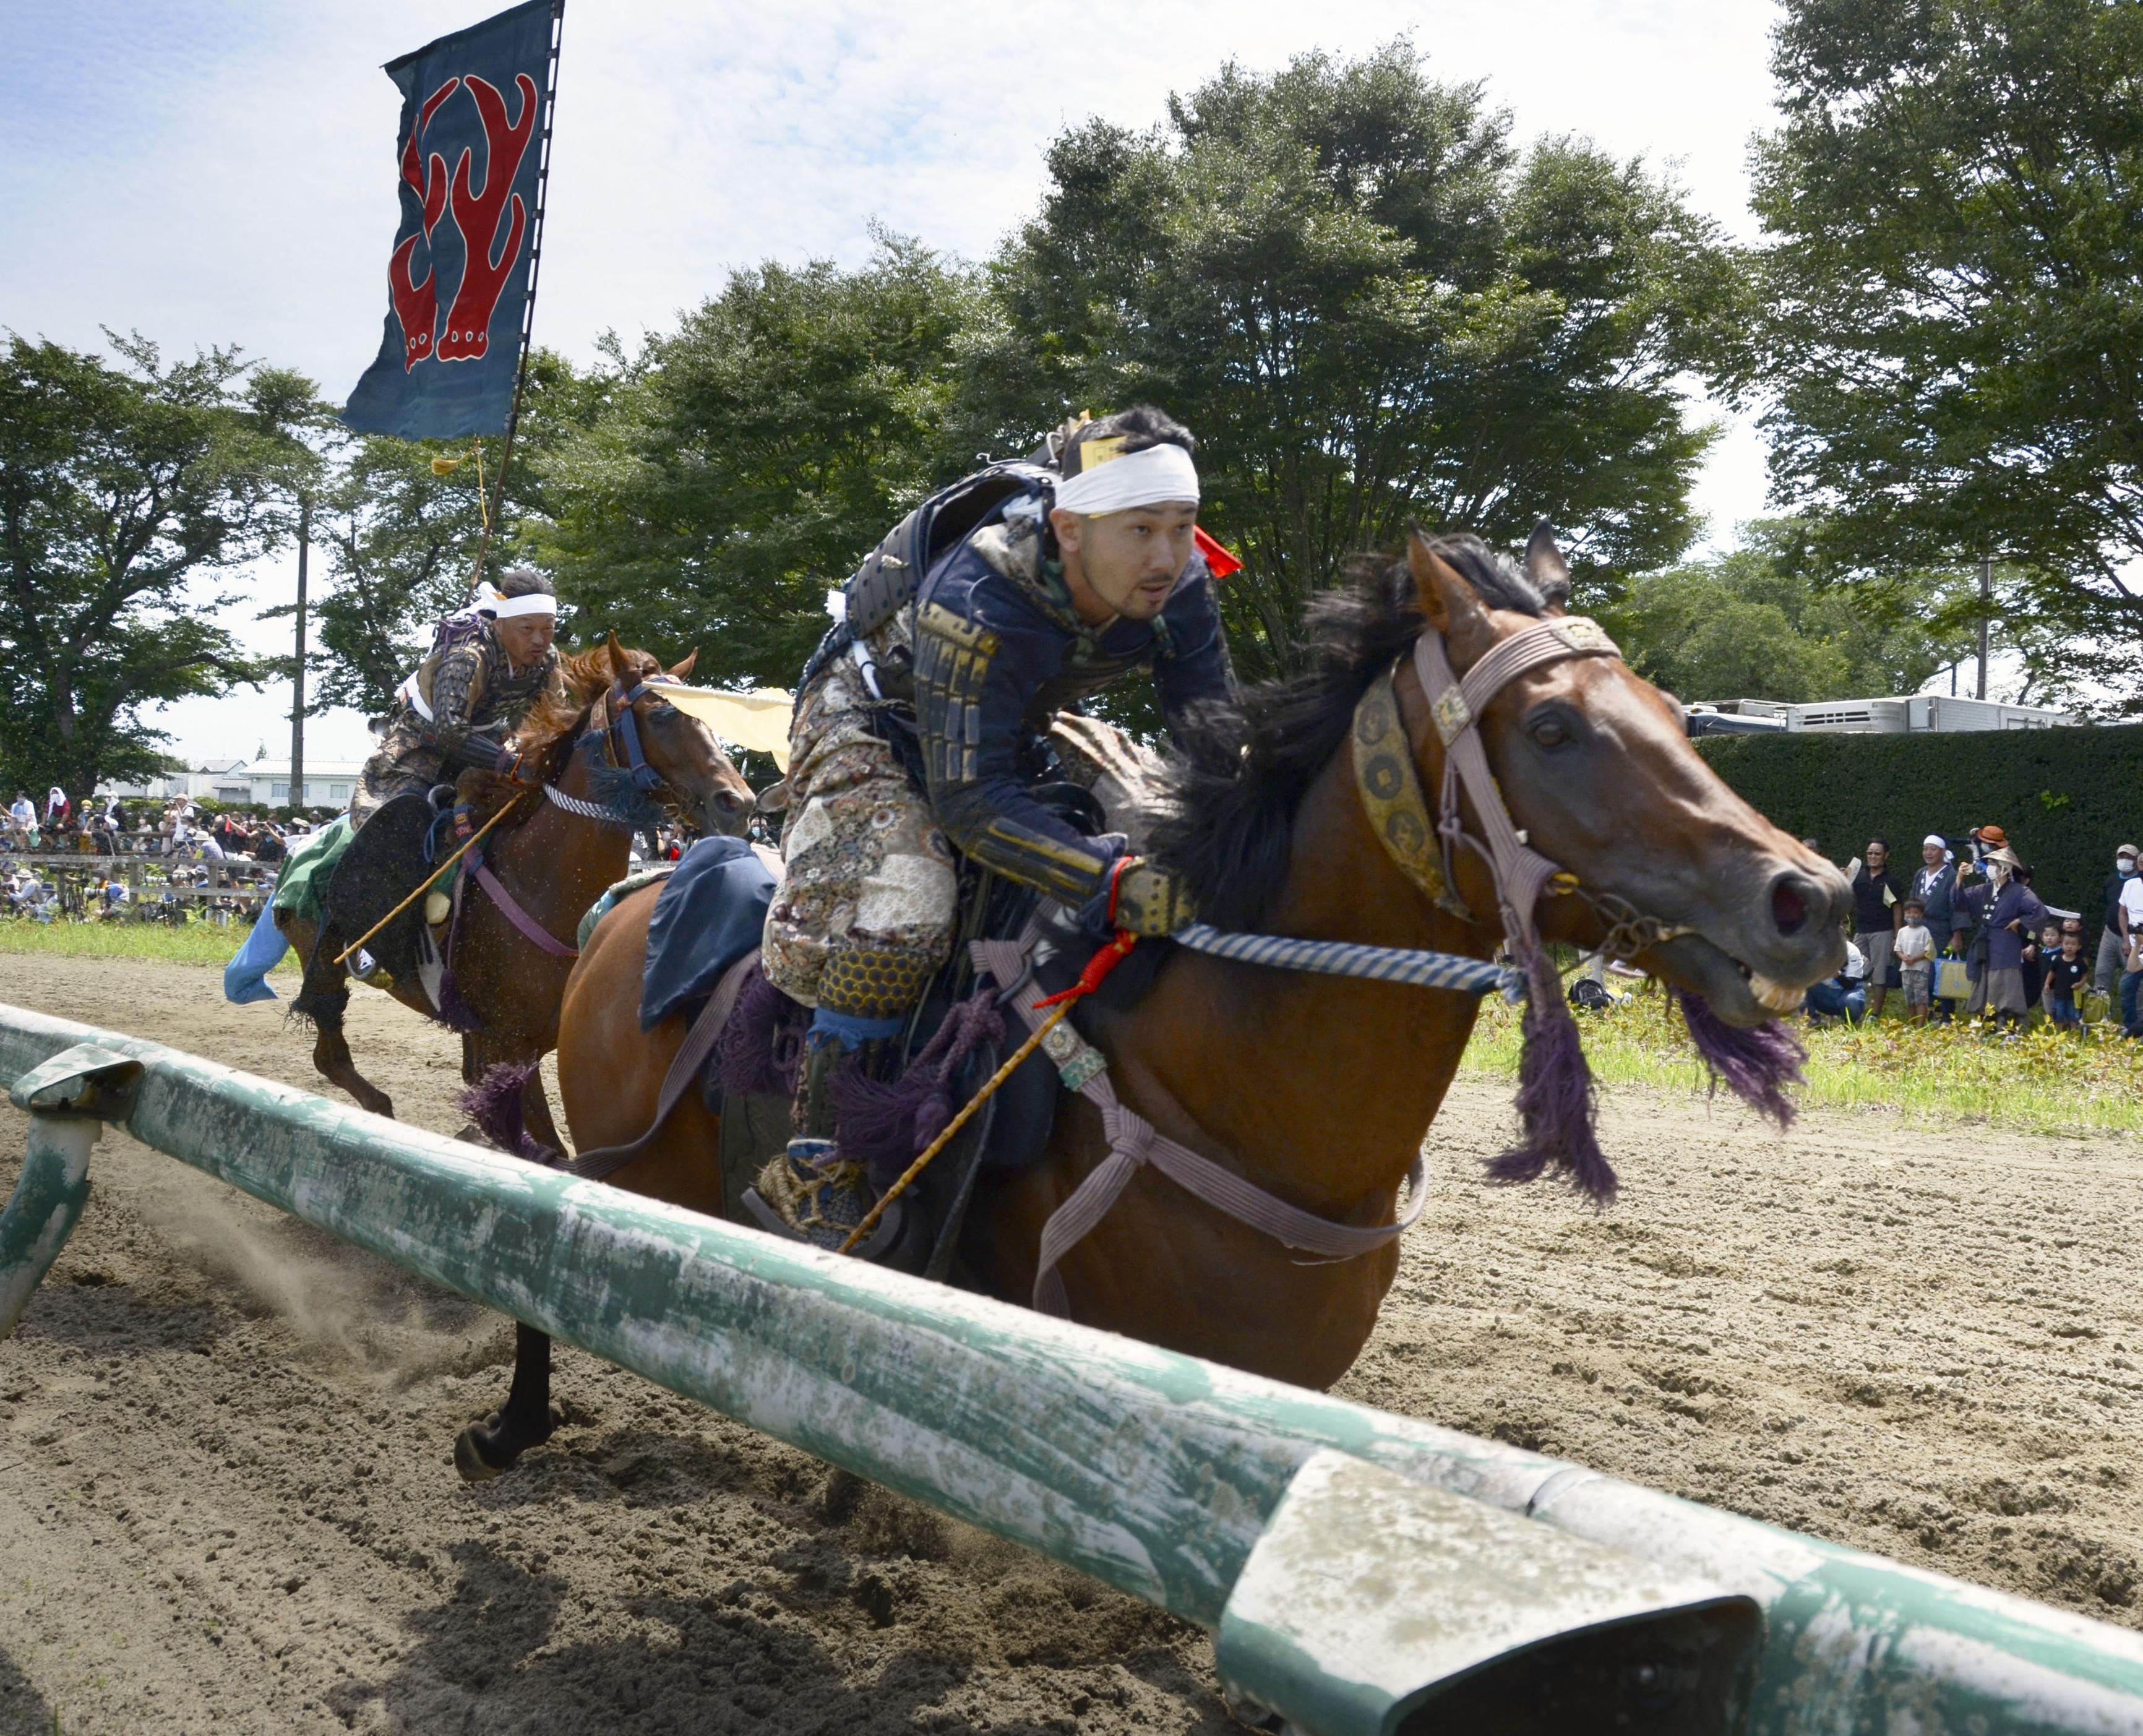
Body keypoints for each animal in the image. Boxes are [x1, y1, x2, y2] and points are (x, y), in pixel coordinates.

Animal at [278, 634, 754, 1148]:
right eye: (662, 713)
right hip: (323, 963)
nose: (738, 803)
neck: (543, 887)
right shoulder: (508, 1043)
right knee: (329, 1051)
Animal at [456, 531, 1860, 1474]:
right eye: (1556, 728)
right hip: (631, 1162)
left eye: (1672, 710)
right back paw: (513, 1424)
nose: (1810, 894)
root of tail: (636, 897)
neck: (1246, 1102)